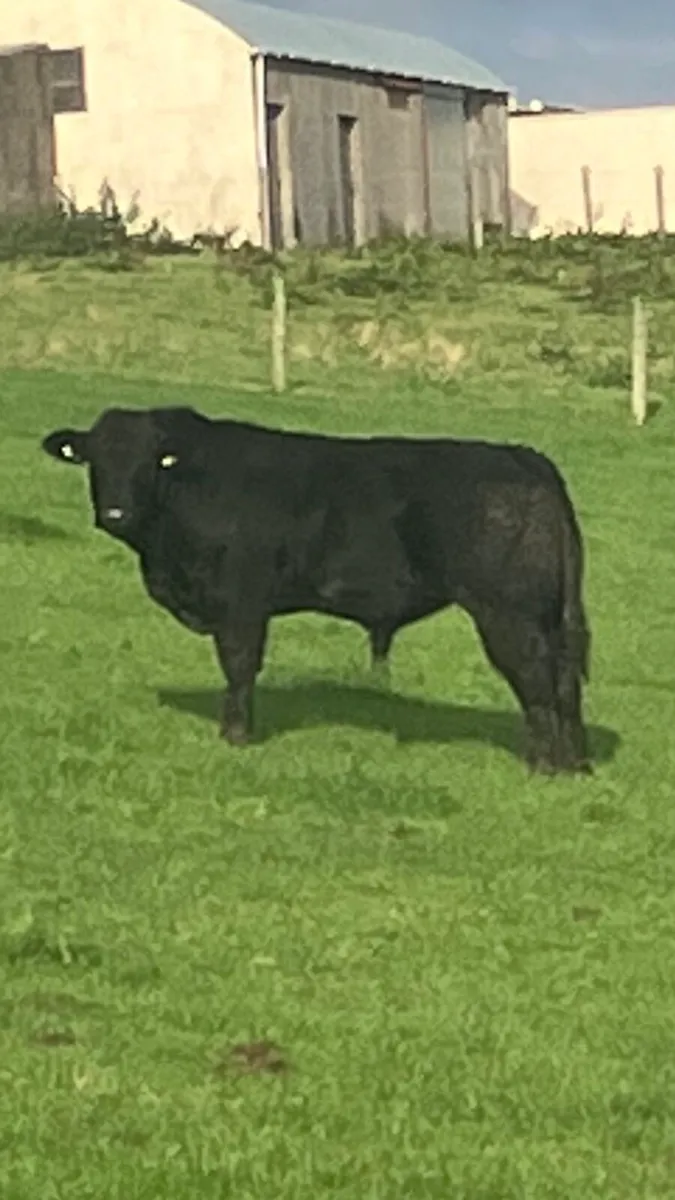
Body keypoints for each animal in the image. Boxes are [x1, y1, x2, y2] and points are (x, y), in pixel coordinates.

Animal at [40, 406, 592, 775]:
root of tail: (523, 457)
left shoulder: (241, 604)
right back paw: (573, 764)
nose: (115, 512)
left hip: (509, 613)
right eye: (96, 461)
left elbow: (239, 668)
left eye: (151, 461)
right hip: (548, 615)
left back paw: (542, 764)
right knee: (565, 682)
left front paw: (235, 736)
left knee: (538, 681)